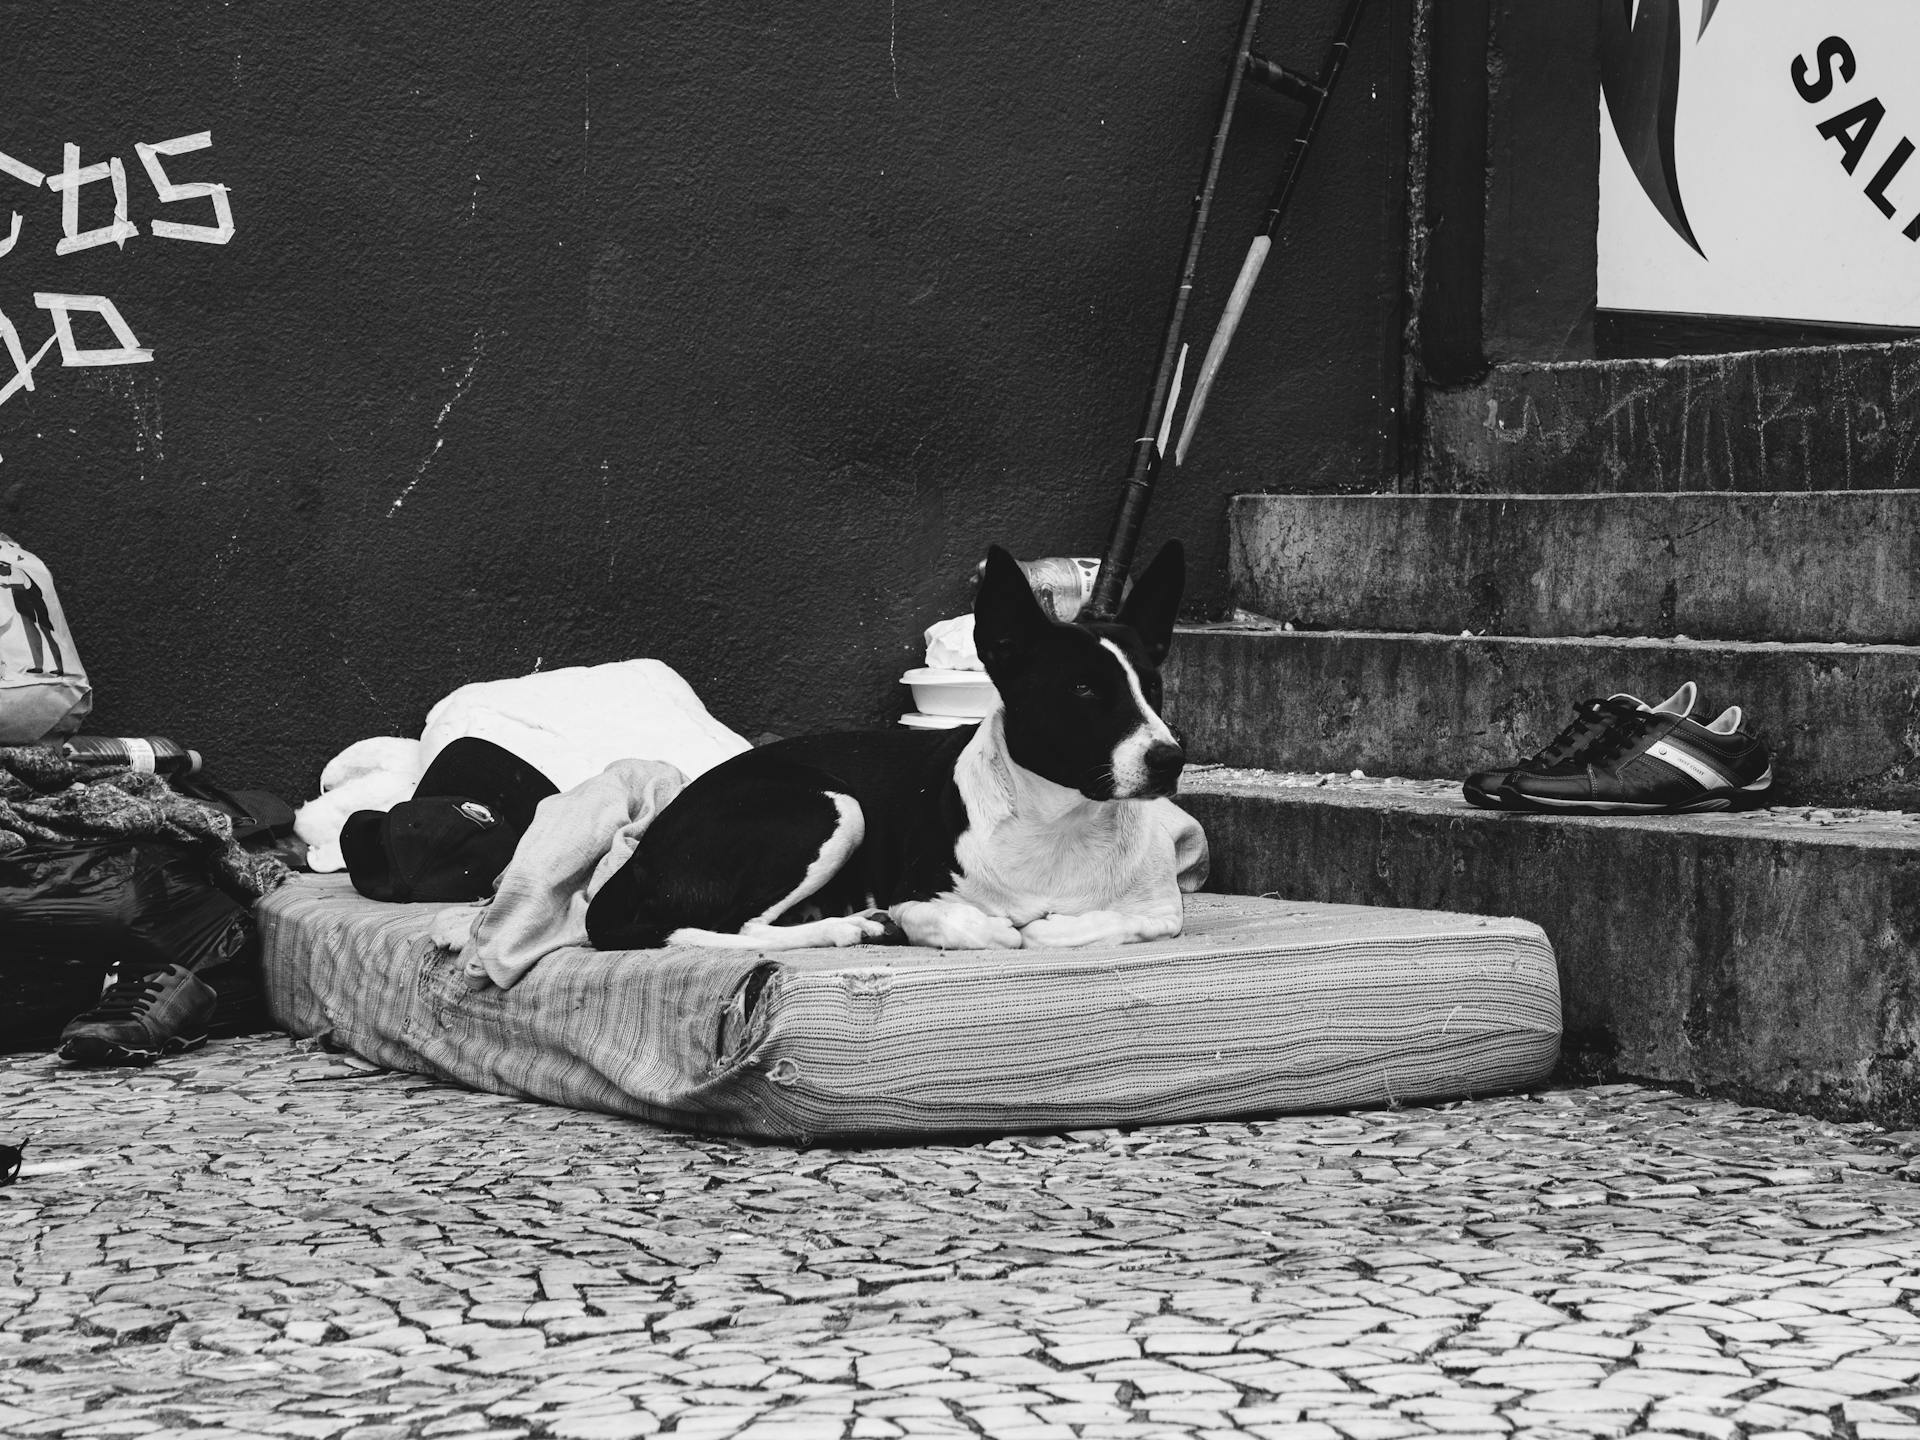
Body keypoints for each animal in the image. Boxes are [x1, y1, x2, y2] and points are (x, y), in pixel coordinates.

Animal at [587, 541, 1198, 948]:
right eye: (1082, 688)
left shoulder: (1162, 909)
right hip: (830, 807)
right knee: (725, 927)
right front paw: (993, 924)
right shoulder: (917, 897)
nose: (1170, 760)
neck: (1060, 824)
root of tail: (643, 849)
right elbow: (982, 926)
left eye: (1153, 687)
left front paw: (1056, 923)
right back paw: (845, 927)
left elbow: (1101, 923)